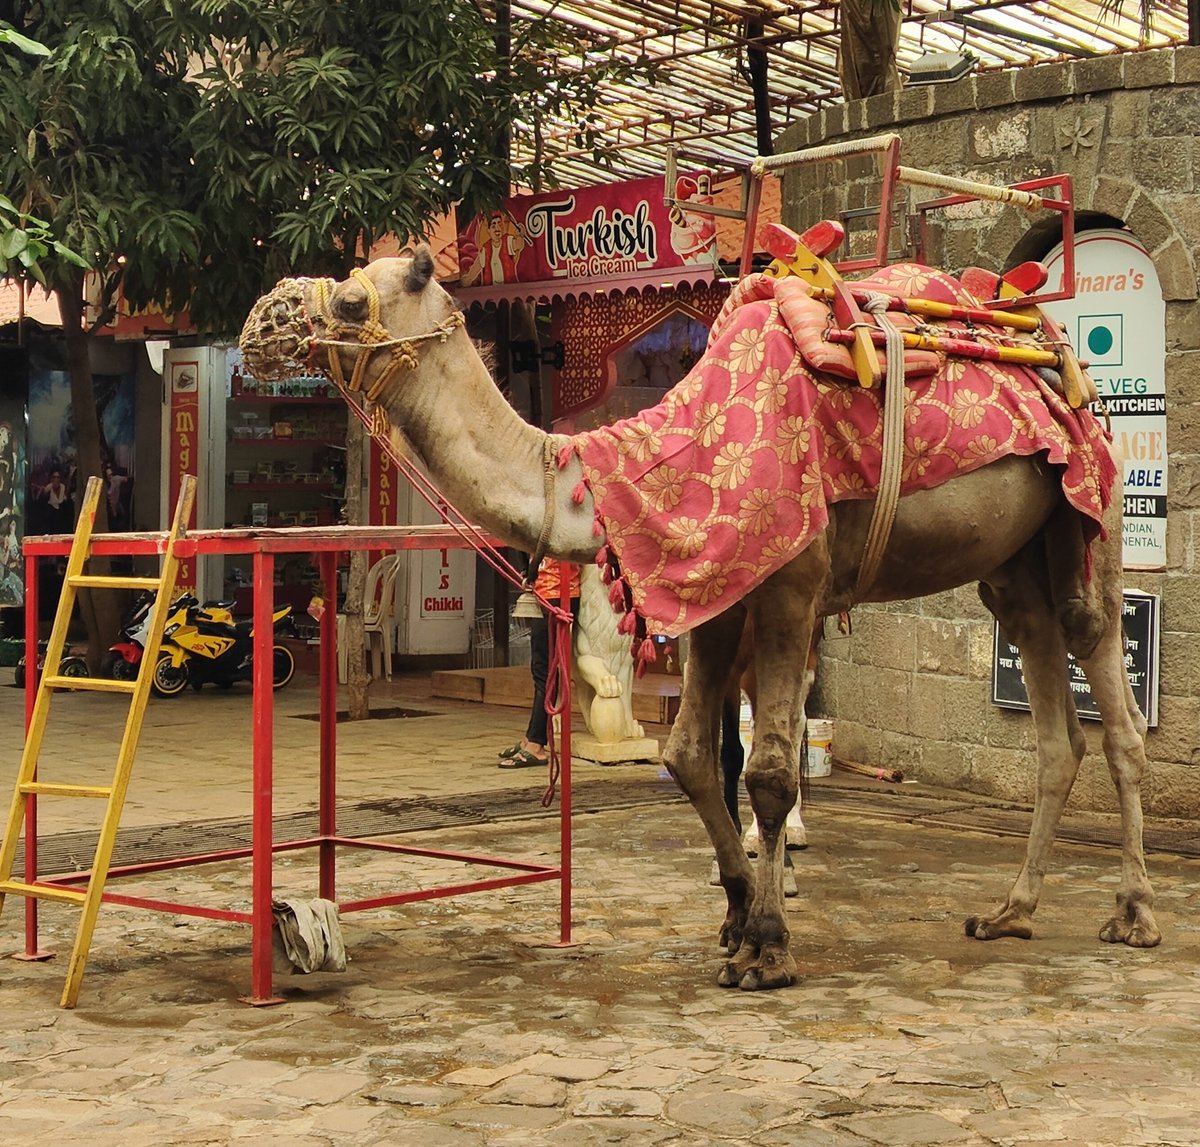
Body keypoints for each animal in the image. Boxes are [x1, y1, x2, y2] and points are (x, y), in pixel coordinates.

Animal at [241, 247, 1159, 991]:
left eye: (351, 301)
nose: (259, 322)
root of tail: (1061, 361)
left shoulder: (791, 584)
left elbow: (772, 770)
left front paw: (768, 945)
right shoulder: (719, 595)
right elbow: (692, 756)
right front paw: (738, 913)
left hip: (1092, 512)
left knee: (1109, 693)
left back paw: (1134, 913)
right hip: (1014, 565)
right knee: (1053, 720)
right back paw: (1011, 911)